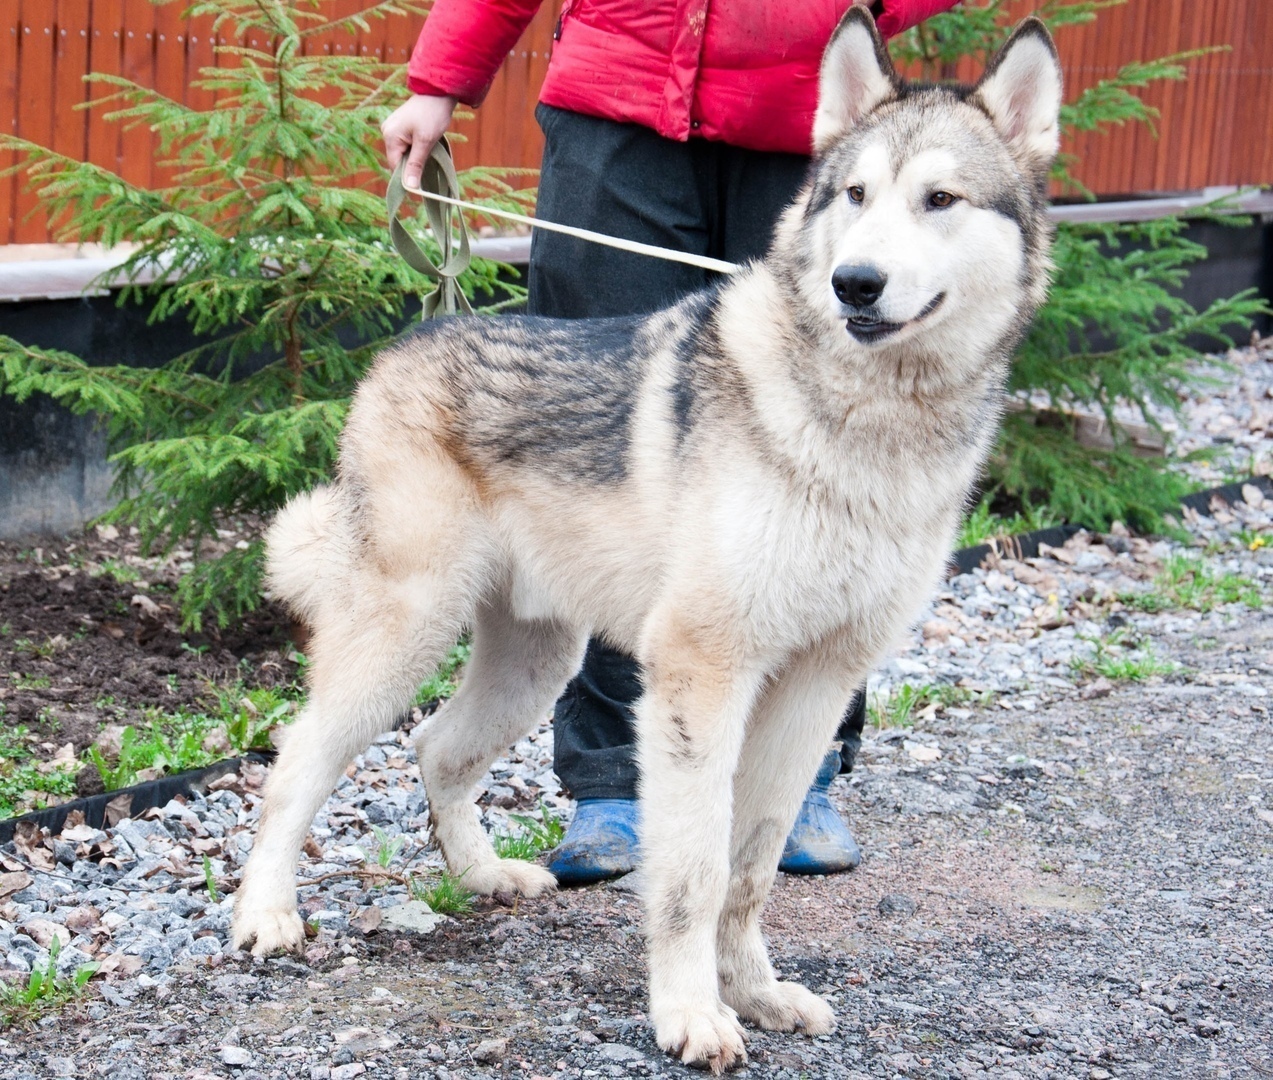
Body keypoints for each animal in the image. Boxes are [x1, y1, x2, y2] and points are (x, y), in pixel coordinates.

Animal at [231, 12, 1064, 1074]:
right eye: (854, 196)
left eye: (940, 199)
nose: (854, 283)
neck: (865, 424)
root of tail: (419, 334)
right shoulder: (699, 681)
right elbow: (693, 875)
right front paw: (691, 1014)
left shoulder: (816, 684)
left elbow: (753, 865)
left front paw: (754, 993)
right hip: (402, 639)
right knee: (297, 762)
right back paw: (264, 915)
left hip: (530, 663)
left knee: (436, 748)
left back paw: (483, 874)